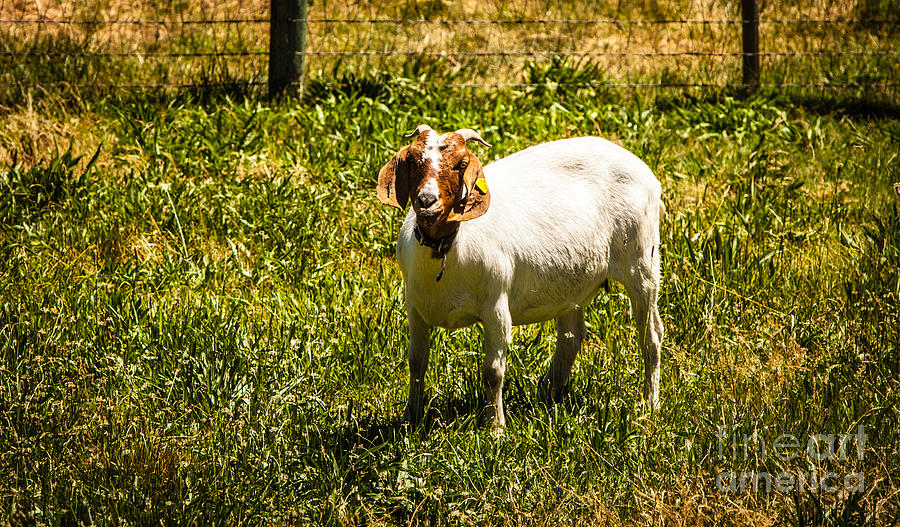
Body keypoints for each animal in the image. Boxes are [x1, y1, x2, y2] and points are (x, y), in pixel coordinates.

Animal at [376, 125, 664, 428]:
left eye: (461, 164)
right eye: (412, 160)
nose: (426, 201)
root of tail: (640, 166)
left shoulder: (496, 307)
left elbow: (492, 372)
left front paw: (496, 428)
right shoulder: (414, 308)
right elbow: (416, 362)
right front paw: (410, 418)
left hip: (642, 260)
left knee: (651, 335)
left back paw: (650, 404)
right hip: (574, 278)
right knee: (571, 336)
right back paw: (546, 393)